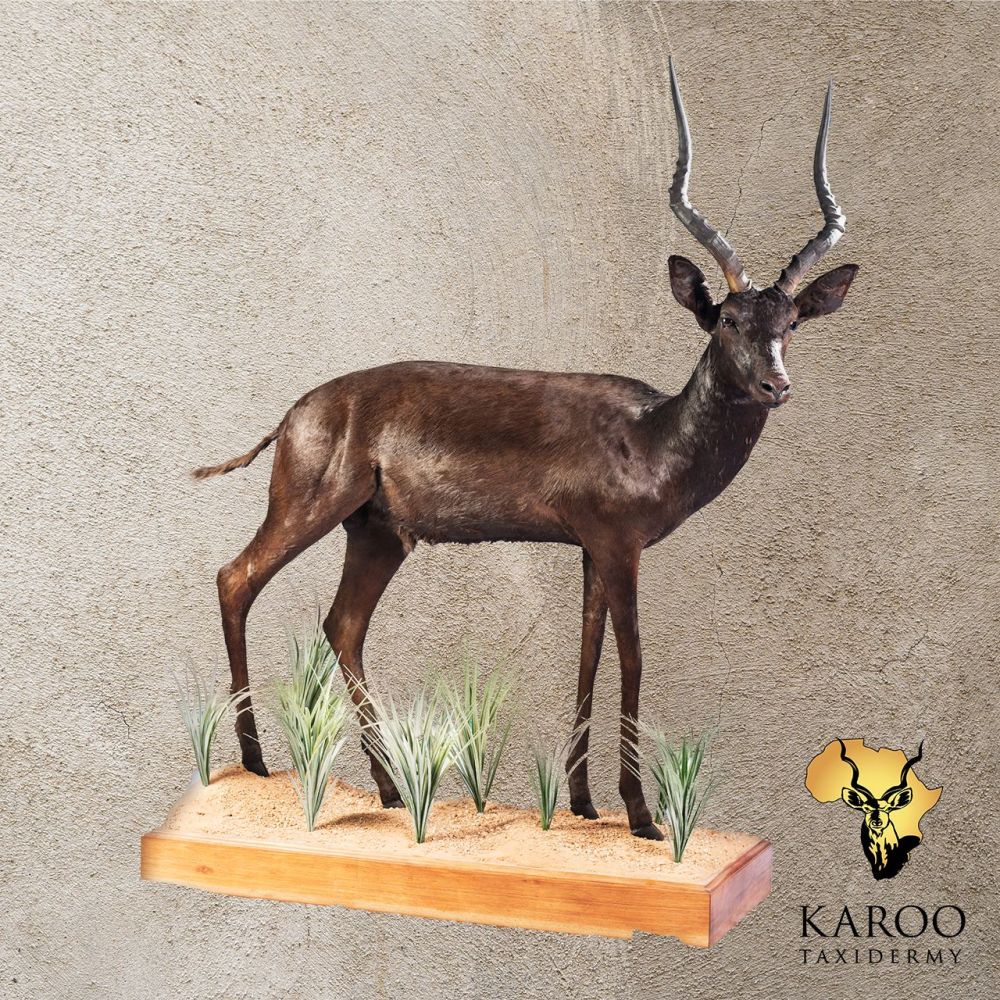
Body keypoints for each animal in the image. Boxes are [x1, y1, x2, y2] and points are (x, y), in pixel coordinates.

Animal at [195, 60, 858, 839]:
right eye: (725, 318)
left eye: (790, 322)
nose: (774, 383)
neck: (653, 433)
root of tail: (296, 411)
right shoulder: (619, 545)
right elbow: (633, 659)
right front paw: (641, 814)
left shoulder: (592, 550)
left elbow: (588, 655)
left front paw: (584, 802)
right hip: (310, 508)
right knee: (235, 579)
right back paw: (257, 763)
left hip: (378, 533)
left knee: (343, 625)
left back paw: (389, 791)